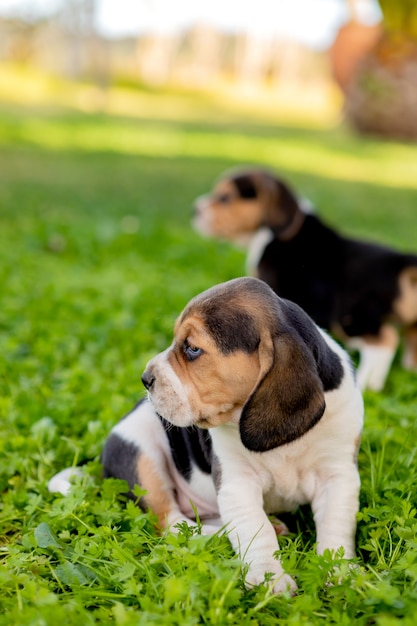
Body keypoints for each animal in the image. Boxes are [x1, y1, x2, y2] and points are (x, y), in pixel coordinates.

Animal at [100, 276, 360, 588]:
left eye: (192, 348)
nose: (146, 378)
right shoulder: (237, 482)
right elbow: (256, 531)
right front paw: (269, 579)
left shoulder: (338, 475)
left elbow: (336, 527)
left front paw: (338, 573)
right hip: (141, 453)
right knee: (173, 523)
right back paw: (217, 536)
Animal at [193, 167, 416, 390]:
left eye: (225, 198)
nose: (194, 210)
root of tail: (400, 262)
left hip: (353, 317)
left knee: (384, 341)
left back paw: (367, 383)